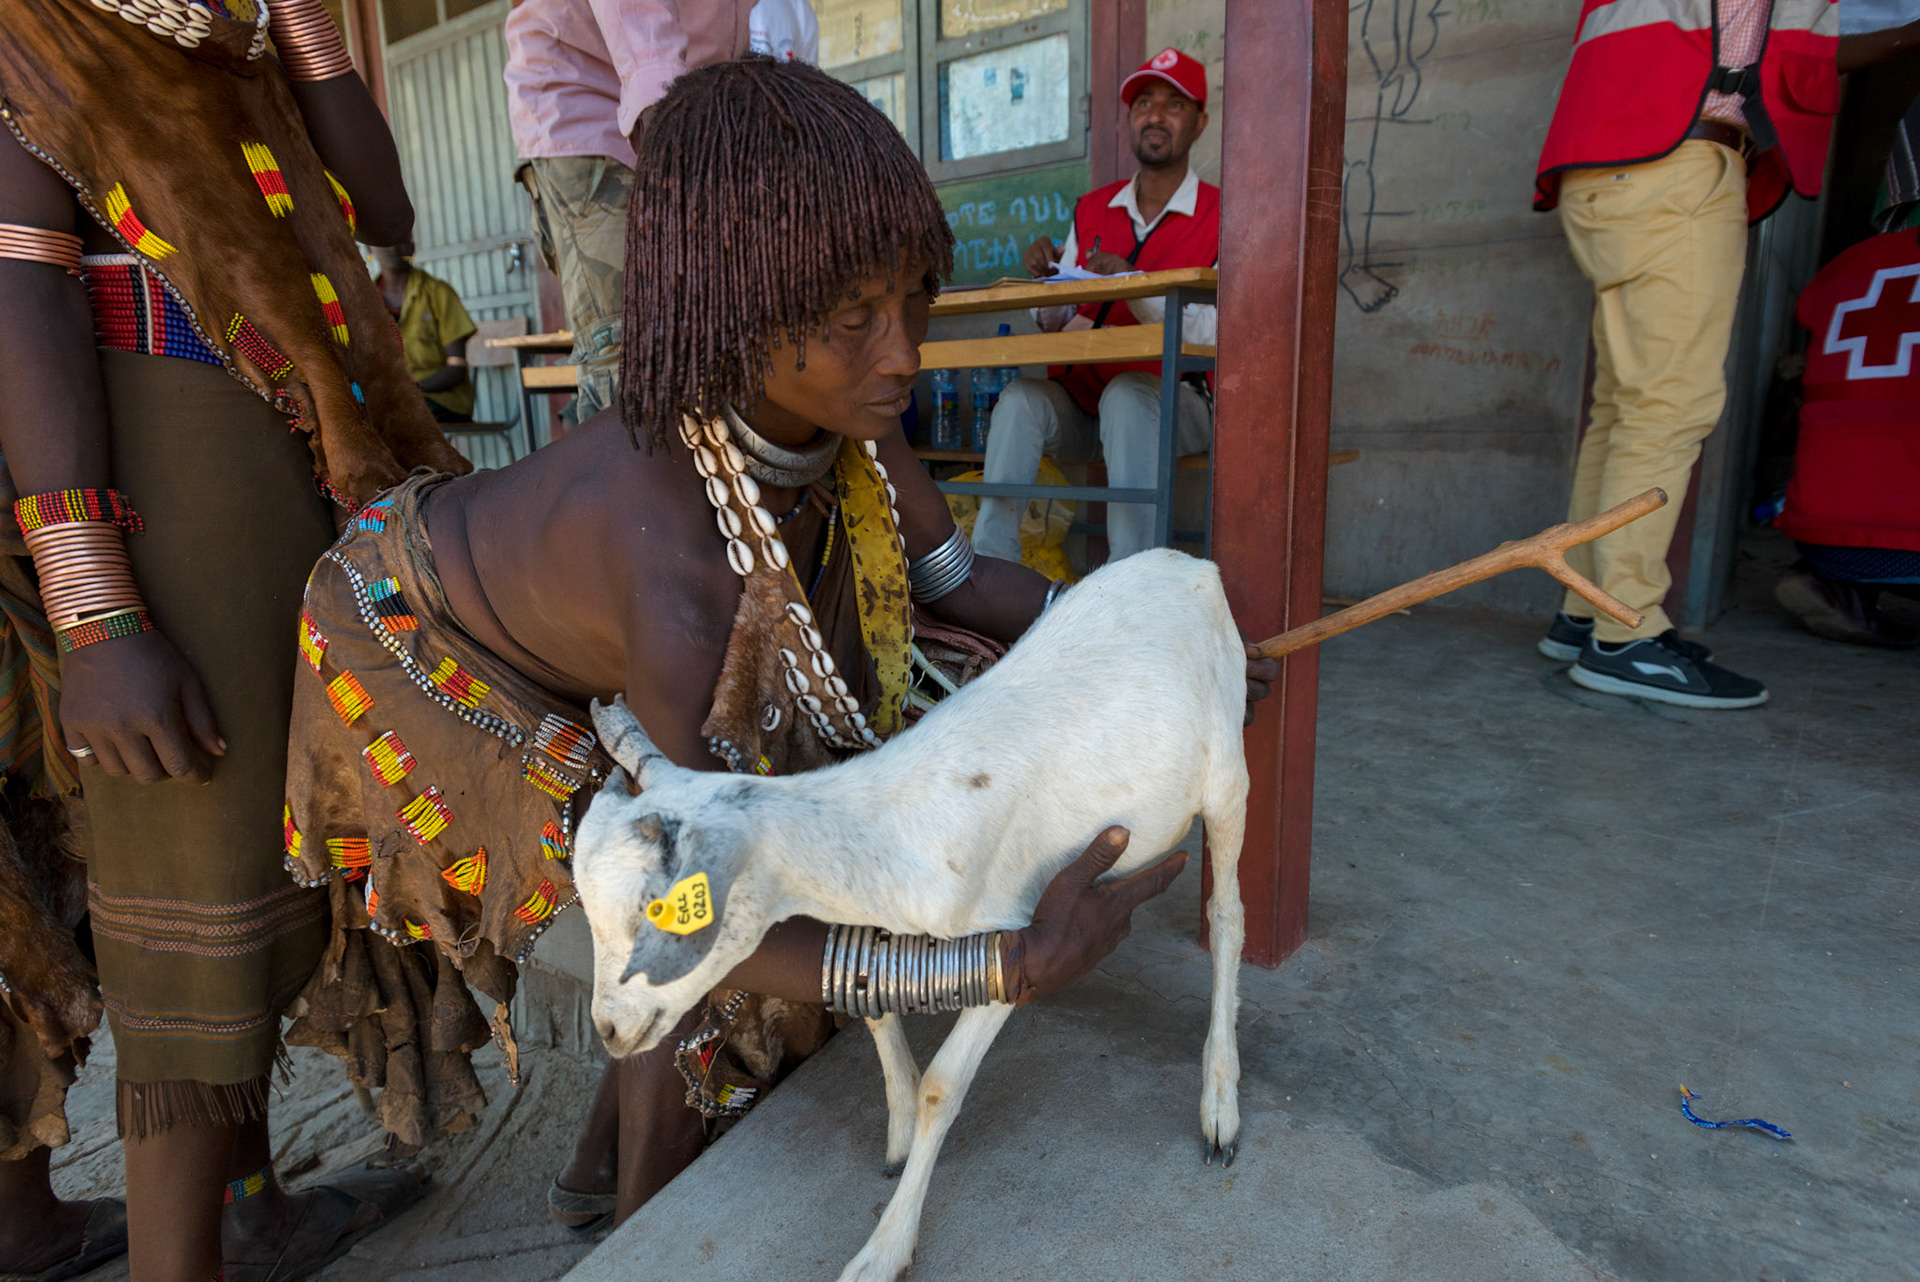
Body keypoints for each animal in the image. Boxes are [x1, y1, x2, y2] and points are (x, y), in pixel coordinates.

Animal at [573, 491, 1665, 1282]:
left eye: (664, 913)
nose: (612, 1033)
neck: (894, 827)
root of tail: (1196, 564)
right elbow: (874, 1011)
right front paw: (889, 1138)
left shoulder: (1014, 934)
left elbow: (943, 1082)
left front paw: (884, 1246)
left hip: (1227, 775)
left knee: (1229, 918)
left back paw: (1220, 1098)